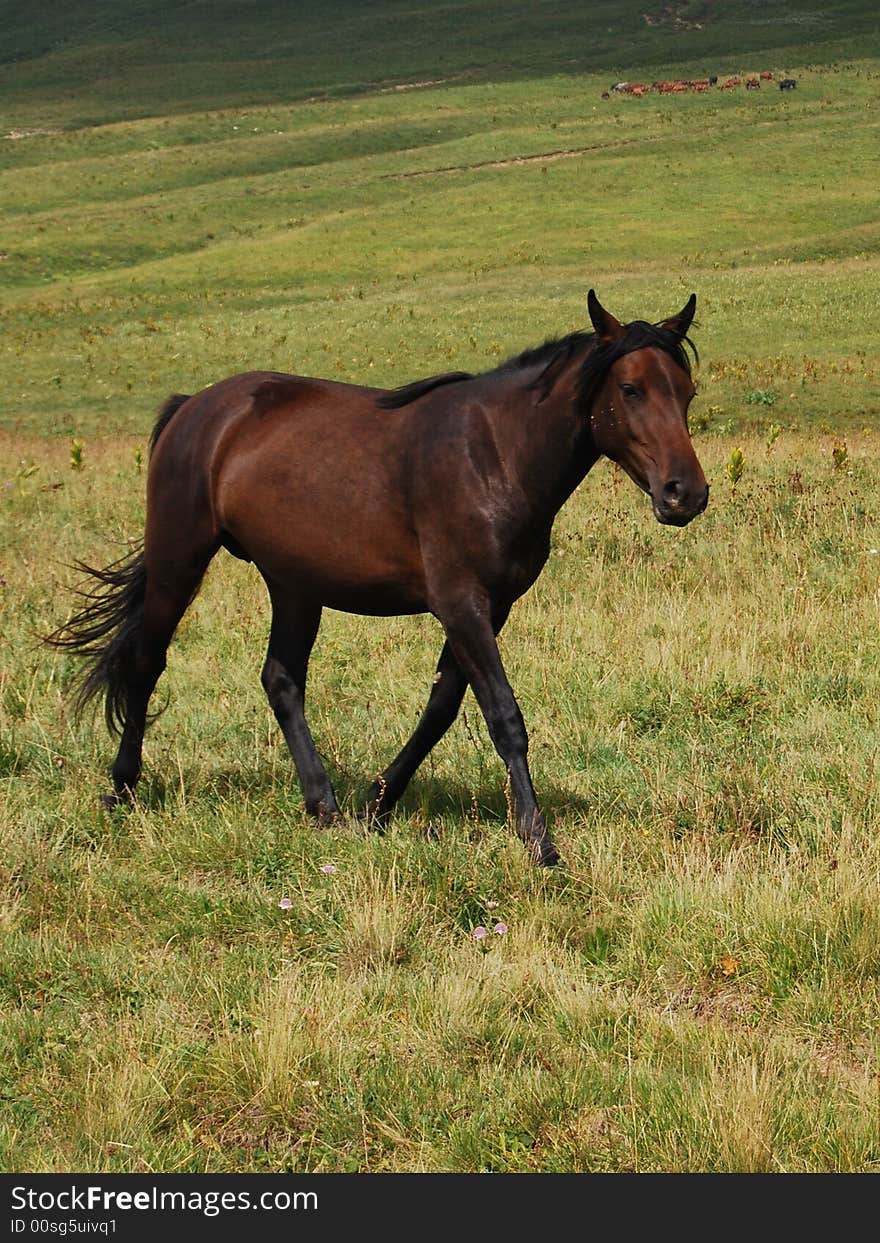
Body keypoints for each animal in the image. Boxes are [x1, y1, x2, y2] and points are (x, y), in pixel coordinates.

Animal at [46, 292, 705, 870]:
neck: (494, 453)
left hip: (294, 584)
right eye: (629, 389)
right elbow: (503, 716)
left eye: (686, 392)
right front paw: (540, 842)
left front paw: (377, 805)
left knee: (281, 680)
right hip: (179, 558)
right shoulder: (460, 603)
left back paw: (324, 804)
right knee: (147, 663)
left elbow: (441, 709)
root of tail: (194, 407)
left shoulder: (490, 608)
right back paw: (123, 788)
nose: (686, 494)